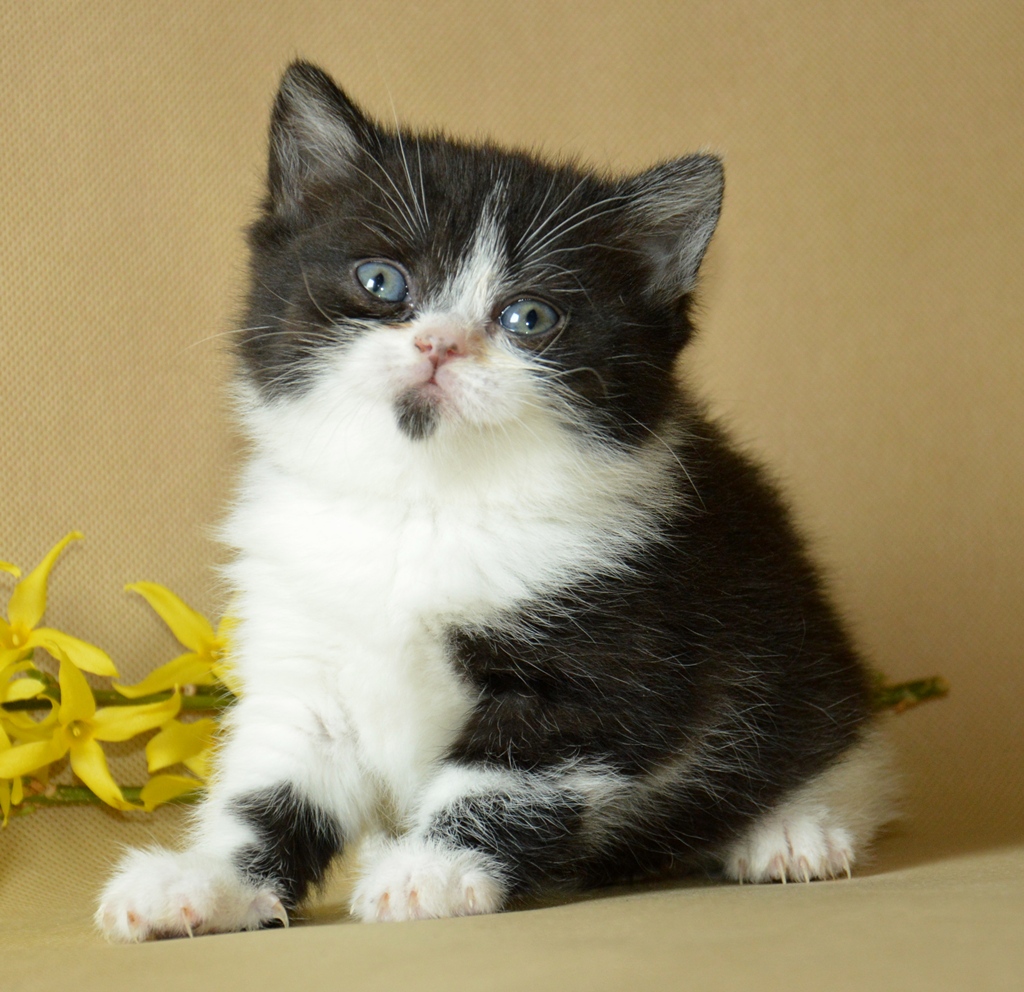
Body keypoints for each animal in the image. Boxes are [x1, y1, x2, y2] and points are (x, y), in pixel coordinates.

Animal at [97, 61, 894, 940]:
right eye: (382, 281)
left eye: (529, 316)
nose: (439, 343)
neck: (424, 500)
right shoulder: (303, 648)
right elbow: (272, 784)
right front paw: (205, 882)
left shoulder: (617, 648)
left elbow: (509, 775)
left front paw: (430, 873)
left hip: (801, 654)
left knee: (830, 751)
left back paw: (794, 829)